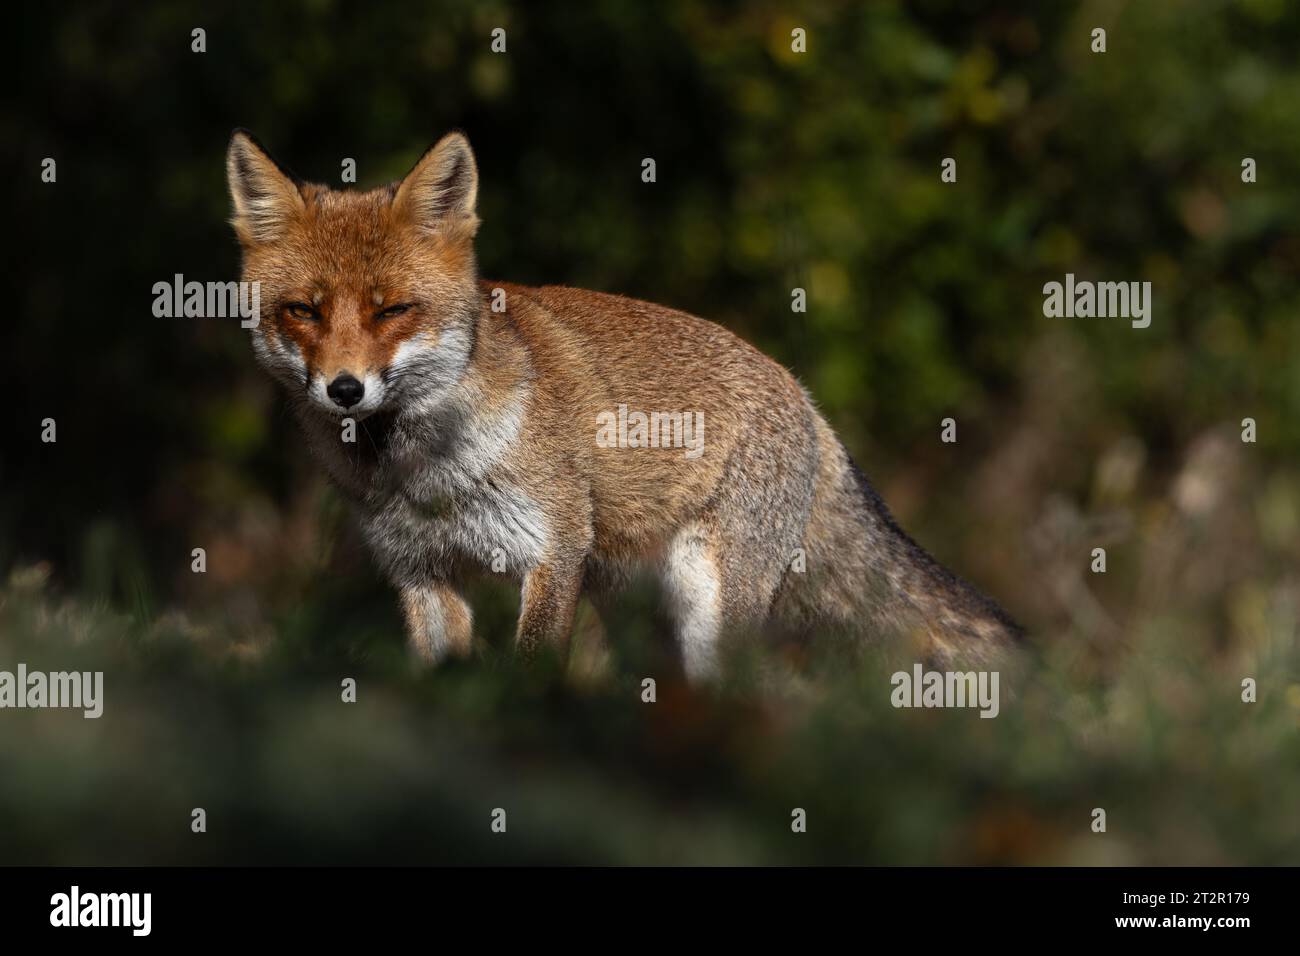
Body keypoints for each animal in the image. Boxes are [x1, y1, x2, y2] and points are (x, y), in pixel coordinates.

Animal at [225, 129, 1022, 678]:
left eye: (391, 311)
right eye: (303, 312)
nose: (345, 389)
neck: (421, 469)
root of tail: (806, 398)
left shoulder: (552, 550)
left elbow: (531, 670)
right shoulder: (422, 573)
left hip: (710, 609)